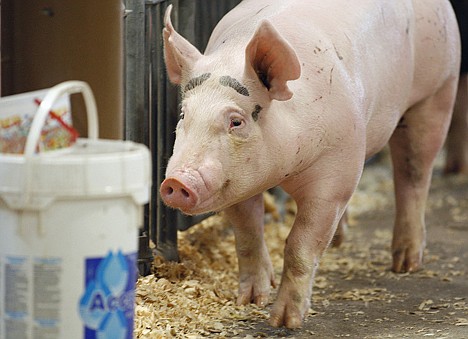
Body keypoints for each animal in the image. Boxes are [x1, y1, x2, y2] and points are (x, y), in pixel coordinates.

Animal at [159, 0, 458, 330]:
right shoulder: (235, 182)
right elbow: (247, 234)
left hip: (439, 90)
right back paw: (340, 241)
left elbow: (300, 245)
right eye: (183, 115)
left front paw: (284, 322)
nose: (177, 182)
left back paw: (406, 264)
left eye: (236, 121)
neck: (285, 169)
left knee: (414, 174)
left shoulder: (335, 174)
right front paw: (250, 301)